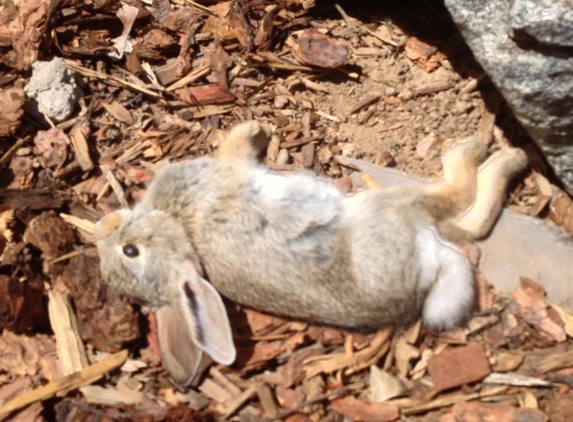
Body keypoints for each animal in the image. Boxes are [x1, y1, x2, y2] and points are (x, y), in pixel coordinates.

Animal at [94, 119, 528, 386]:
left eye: (127, 251)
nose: (104, 228)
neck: (177, 225)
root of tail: (430, 270)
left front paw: (256, 130)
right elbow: (233, 149)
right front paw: (255, 130)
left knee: (470, 222)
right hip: (391, 208)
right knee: (460, 201)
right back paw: (496, 154)